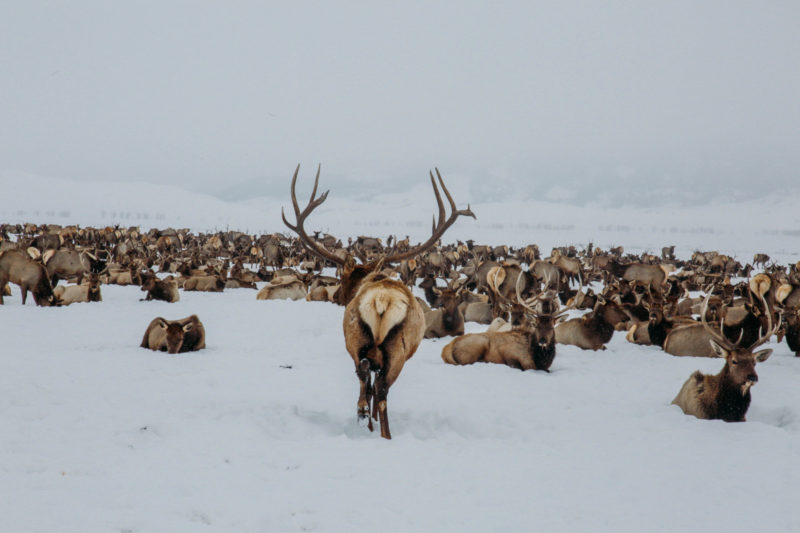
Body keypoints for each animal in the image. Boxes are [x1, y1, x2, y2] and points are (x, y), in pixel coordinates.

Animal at [282, 164, 474, 439]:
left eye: (345, 278)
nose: (338, 296)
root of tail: (382, 300)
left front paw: (367, 416)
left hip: (358, 340)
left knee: (367, 378)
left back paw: (365, 416)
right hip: (395, 351)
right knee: (381, 388)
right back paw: (383, 432)